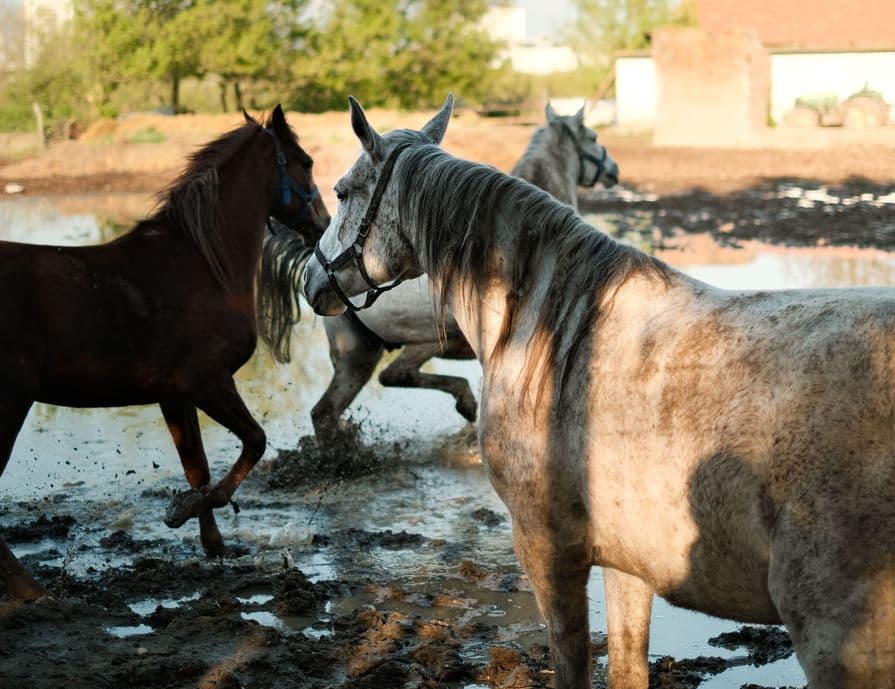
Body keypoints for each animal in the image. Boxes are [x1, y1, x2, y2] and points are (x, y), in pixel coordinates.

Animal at [0, 106, 330, 601]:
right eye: (304, 162)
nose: (324, 224)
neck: (204, 264)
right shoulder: (208, 382)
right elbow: (253, 442)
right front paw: (186, 510)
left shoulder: (175, 396)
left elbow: (198, 467)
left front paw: (213, 543)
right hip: (10, 401)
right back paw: (30, 592)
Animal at [258, 103, 618, 449]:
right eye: (594, 138)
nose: (613, 170)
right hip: (422, 341)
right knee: (394, 375)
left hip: (356, 358)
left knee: (326, 412)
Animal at [303, 94, 895, 689]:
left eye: (342, 191)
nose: (311, 278)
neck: (550, 327)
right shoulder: (626, 561)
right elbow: (627, 666)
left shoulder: (548, 549)